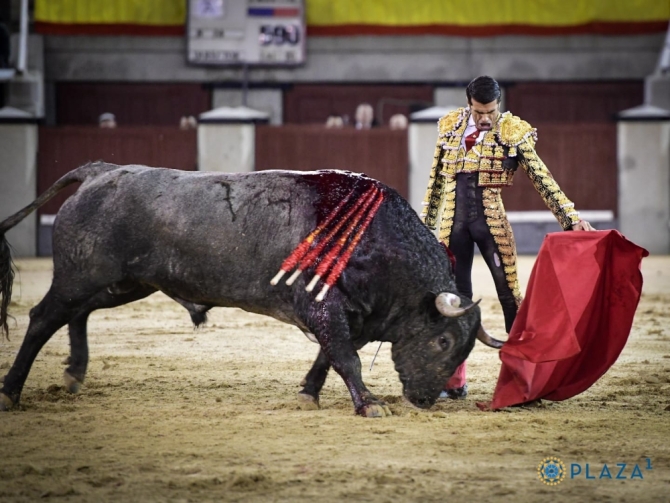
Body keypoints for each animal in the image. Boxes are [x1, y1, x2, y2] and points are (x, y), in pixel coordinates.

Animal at [0, 164, 504, 418]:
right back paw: (11, 393)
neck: (378, 243)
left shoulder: (352, 317)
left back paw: (74, 373)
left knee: (77, 313)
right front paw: (369, 405)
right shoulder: (325, 309)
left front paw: (309, 393)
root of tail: (99, 172)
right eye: (442, 341)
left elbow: (329, 357)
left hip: (124, 283)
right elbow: (347, 359)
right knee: (43, 317)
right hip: (82, 274)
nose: (424, 400)